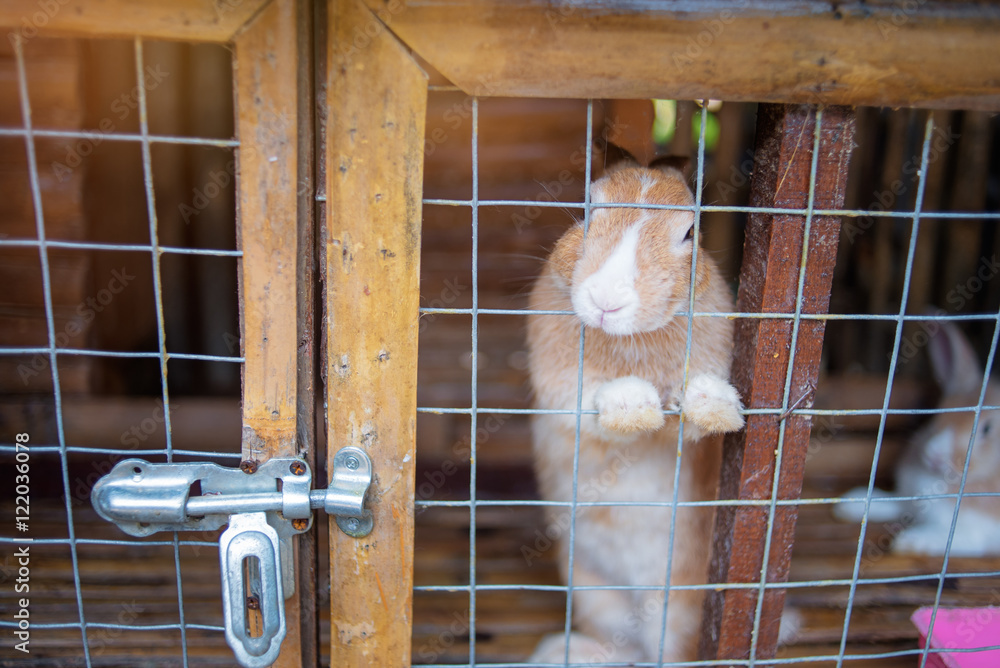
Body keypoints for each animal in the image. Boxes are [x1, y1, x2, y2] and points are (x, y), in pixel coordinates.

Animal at [525, 157, 745, 664]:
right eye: (588, 209)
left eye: (690, 232)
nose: (607, 301)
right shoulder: (559, 389)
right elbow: (594, 409)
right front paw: (632, 402)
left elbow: (693, 423)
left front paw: (713, 400)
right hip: (593, 592)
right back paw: (565, 651)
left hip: (676, 607)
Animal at [834, 320, 1000, 557]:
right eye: (939, 411)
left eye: (987, 429)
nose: (934, 455)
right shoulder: (908, 498)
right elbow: (895, 501)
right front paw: (851, 502)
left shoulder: (979, 532)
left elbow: (953, 538)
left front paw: (910, 540)